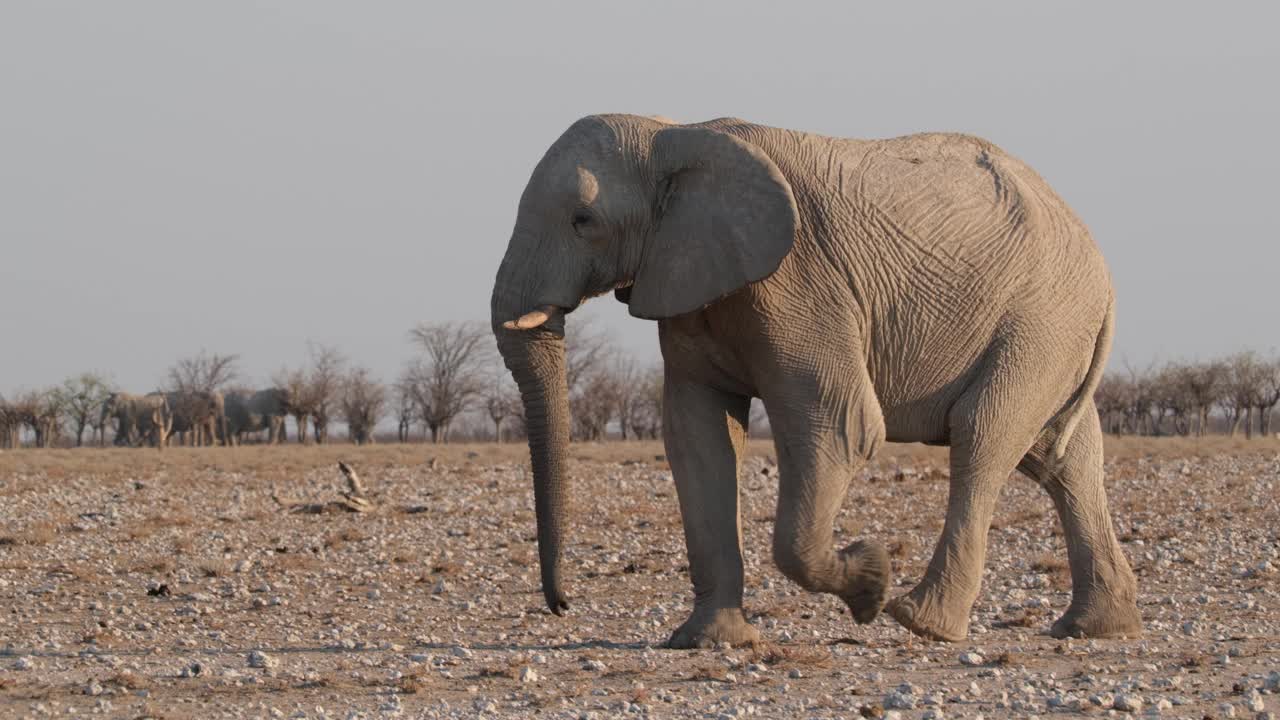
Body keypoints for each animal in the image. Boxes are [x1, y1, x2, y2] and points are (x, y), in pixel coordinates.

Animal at [488, 116, 1141, 645]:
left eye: (583, 220)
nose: (564, 606)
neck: (672, 134)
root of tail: (1103, 268)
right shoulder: (690, 283)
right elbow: (696, 437)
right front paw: (707, 642)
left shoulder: (799, 282)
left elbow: (844, 427)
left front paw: (871, 580)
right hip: (1052, 329)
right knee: (1061, 458)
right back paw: (1093, 628)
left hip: (1042, 317)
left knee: (983, 433)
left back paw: (922, 622)